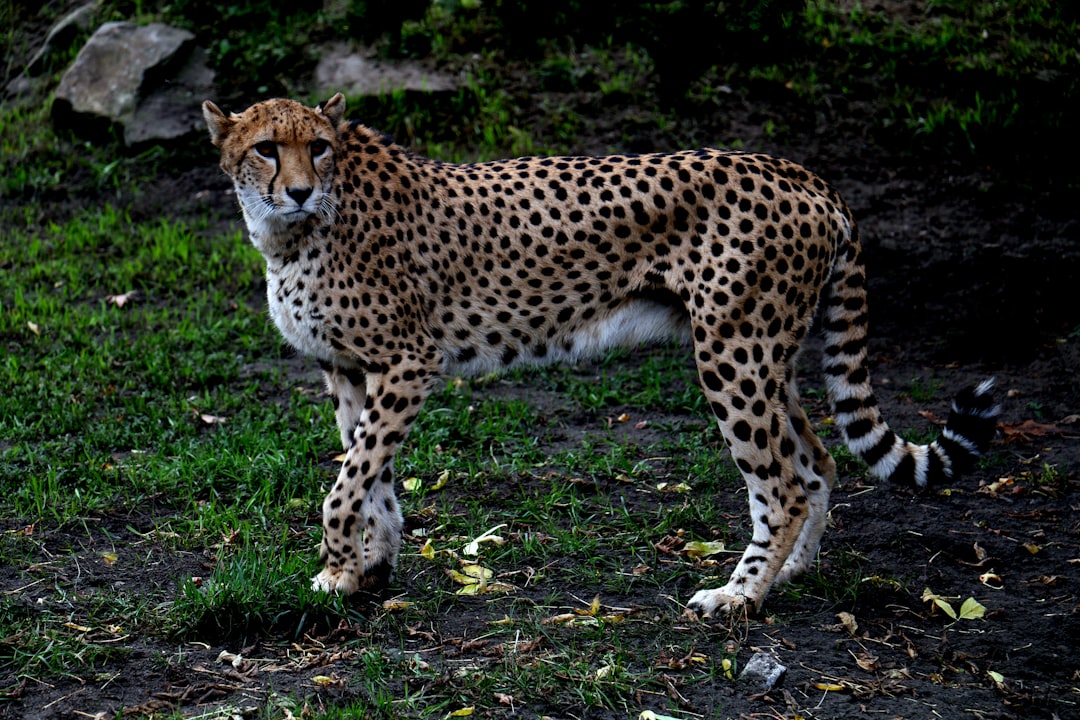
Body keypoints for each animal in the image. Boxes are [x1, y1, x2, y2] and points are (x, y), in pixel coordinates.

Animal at [203, 92, 993, 617]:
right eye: (266, 148)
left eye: (318, 146)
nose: (298, 190)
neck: (293, 233)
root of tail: (799, 170)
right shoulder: (350, 369)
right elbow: (375, 480)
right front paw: (372, 567)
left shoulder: (405, 363)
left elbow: (347, 484)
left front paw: (337, 574)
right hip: (767, 354)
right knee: (817, 461)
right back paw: (792, 574)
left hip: (733, 354)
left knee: (781, 484)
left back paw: (737, 596)